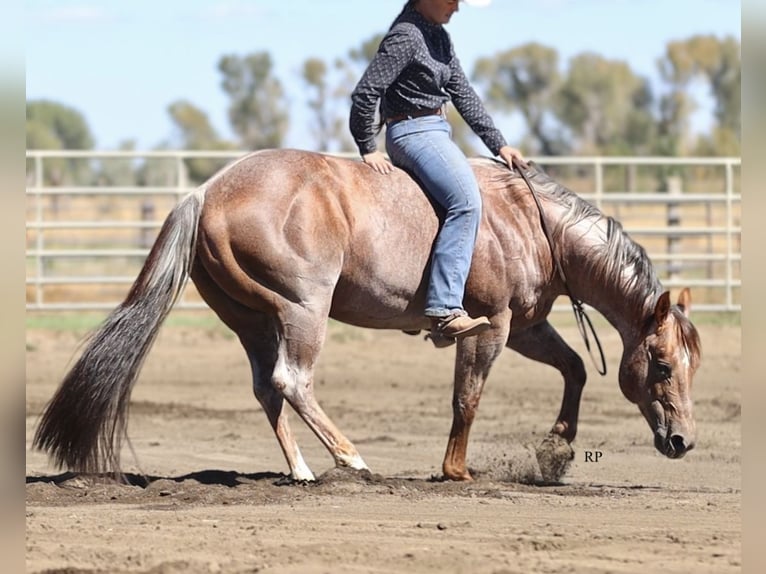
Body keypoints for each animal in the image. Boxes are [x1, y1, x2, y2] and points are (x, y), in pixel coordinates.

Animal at [33, 149, 701, 482]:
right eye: (662, 365)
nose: (683, 441)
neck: (528, 222)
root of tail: (206, 190)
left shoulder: (527, 325)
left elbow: (574, 369)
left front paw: (556, 450)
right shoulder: (492, 324)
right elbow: (468, 397)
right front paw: (455, 470)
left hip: (250, 320)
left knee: (267, 388)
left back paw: (303, 471)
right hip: (304, 309)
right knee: (292, 381)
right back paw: (350, 458)